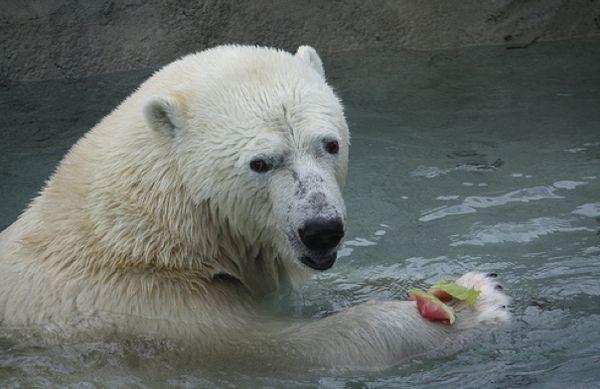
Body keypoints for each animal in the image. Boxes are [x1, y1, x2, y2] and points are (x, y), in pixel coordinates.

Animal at [0, 44, 508, 366]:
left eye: (329, 143)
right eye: (260, 163)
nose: (321, 229)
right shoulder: (157, 315)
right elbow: (297, 347)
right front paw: (476, 303)